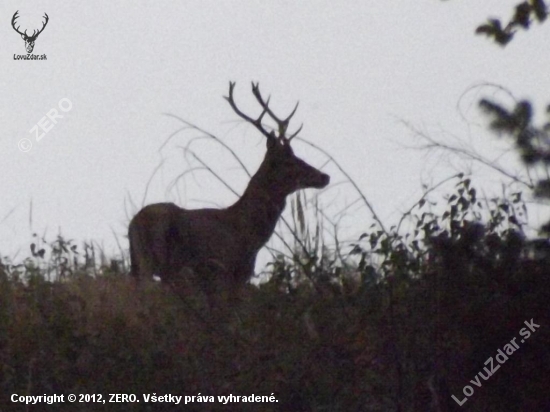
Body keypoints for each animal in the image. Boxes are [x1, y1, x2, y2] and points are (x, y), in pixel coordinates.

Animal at [129, 81, 332, 300]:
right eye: (290, 161)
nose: (324, 176)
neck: (246, 232)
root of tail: (133, 223)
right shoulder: (223, 270)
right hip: (151, 260)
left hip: (140, 264)